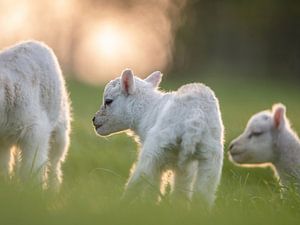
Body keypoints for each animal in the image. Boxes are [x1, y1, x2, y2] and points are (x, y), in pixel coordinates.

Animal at [0, 40, 71, 190]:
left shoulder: (34, 129)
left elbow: (32, 164)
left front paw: (31, 189)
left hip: (60, 128)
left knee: (54, 161)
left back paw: (54, 188)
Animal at [92, 68, 224, 207]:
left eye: (108, 101)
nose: (93, 119)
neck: (146, 111)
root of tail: (194, 117)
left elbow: (153, 187)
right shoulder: (185, 169)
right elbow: (181, 190)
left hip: (156, 148)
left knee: (141, 179)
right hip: (211, 156)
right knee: (204, 192)